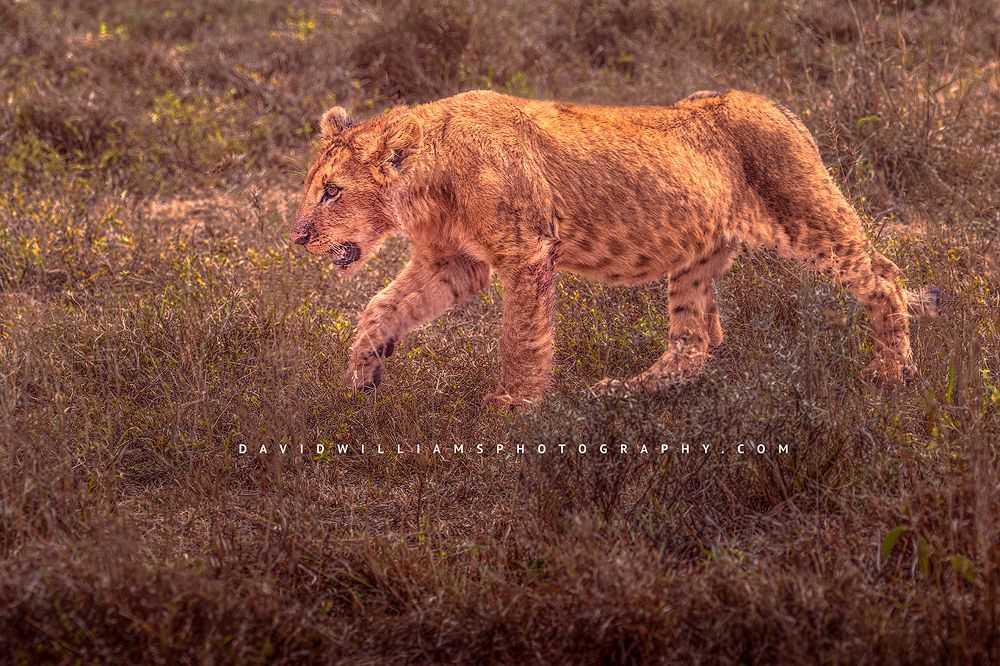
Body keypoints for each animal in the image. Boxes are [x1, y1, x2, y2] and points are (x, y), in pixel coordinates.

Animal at [292, 89, 940, 407]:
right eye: (311, 187)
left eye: (332, 191)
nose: (297, 236)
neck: (427, 188)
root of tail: (781, 108)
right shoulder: (456, 262)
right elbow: (381, 308)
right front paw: (362, 374)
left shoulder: (526, 254)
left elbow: (521, 338)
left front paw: (511, 408)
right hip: (696, 260)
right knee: (694, 342)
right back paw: (621, 393)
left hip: (807, 216)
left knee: (883, 278)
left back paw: (894, 372)